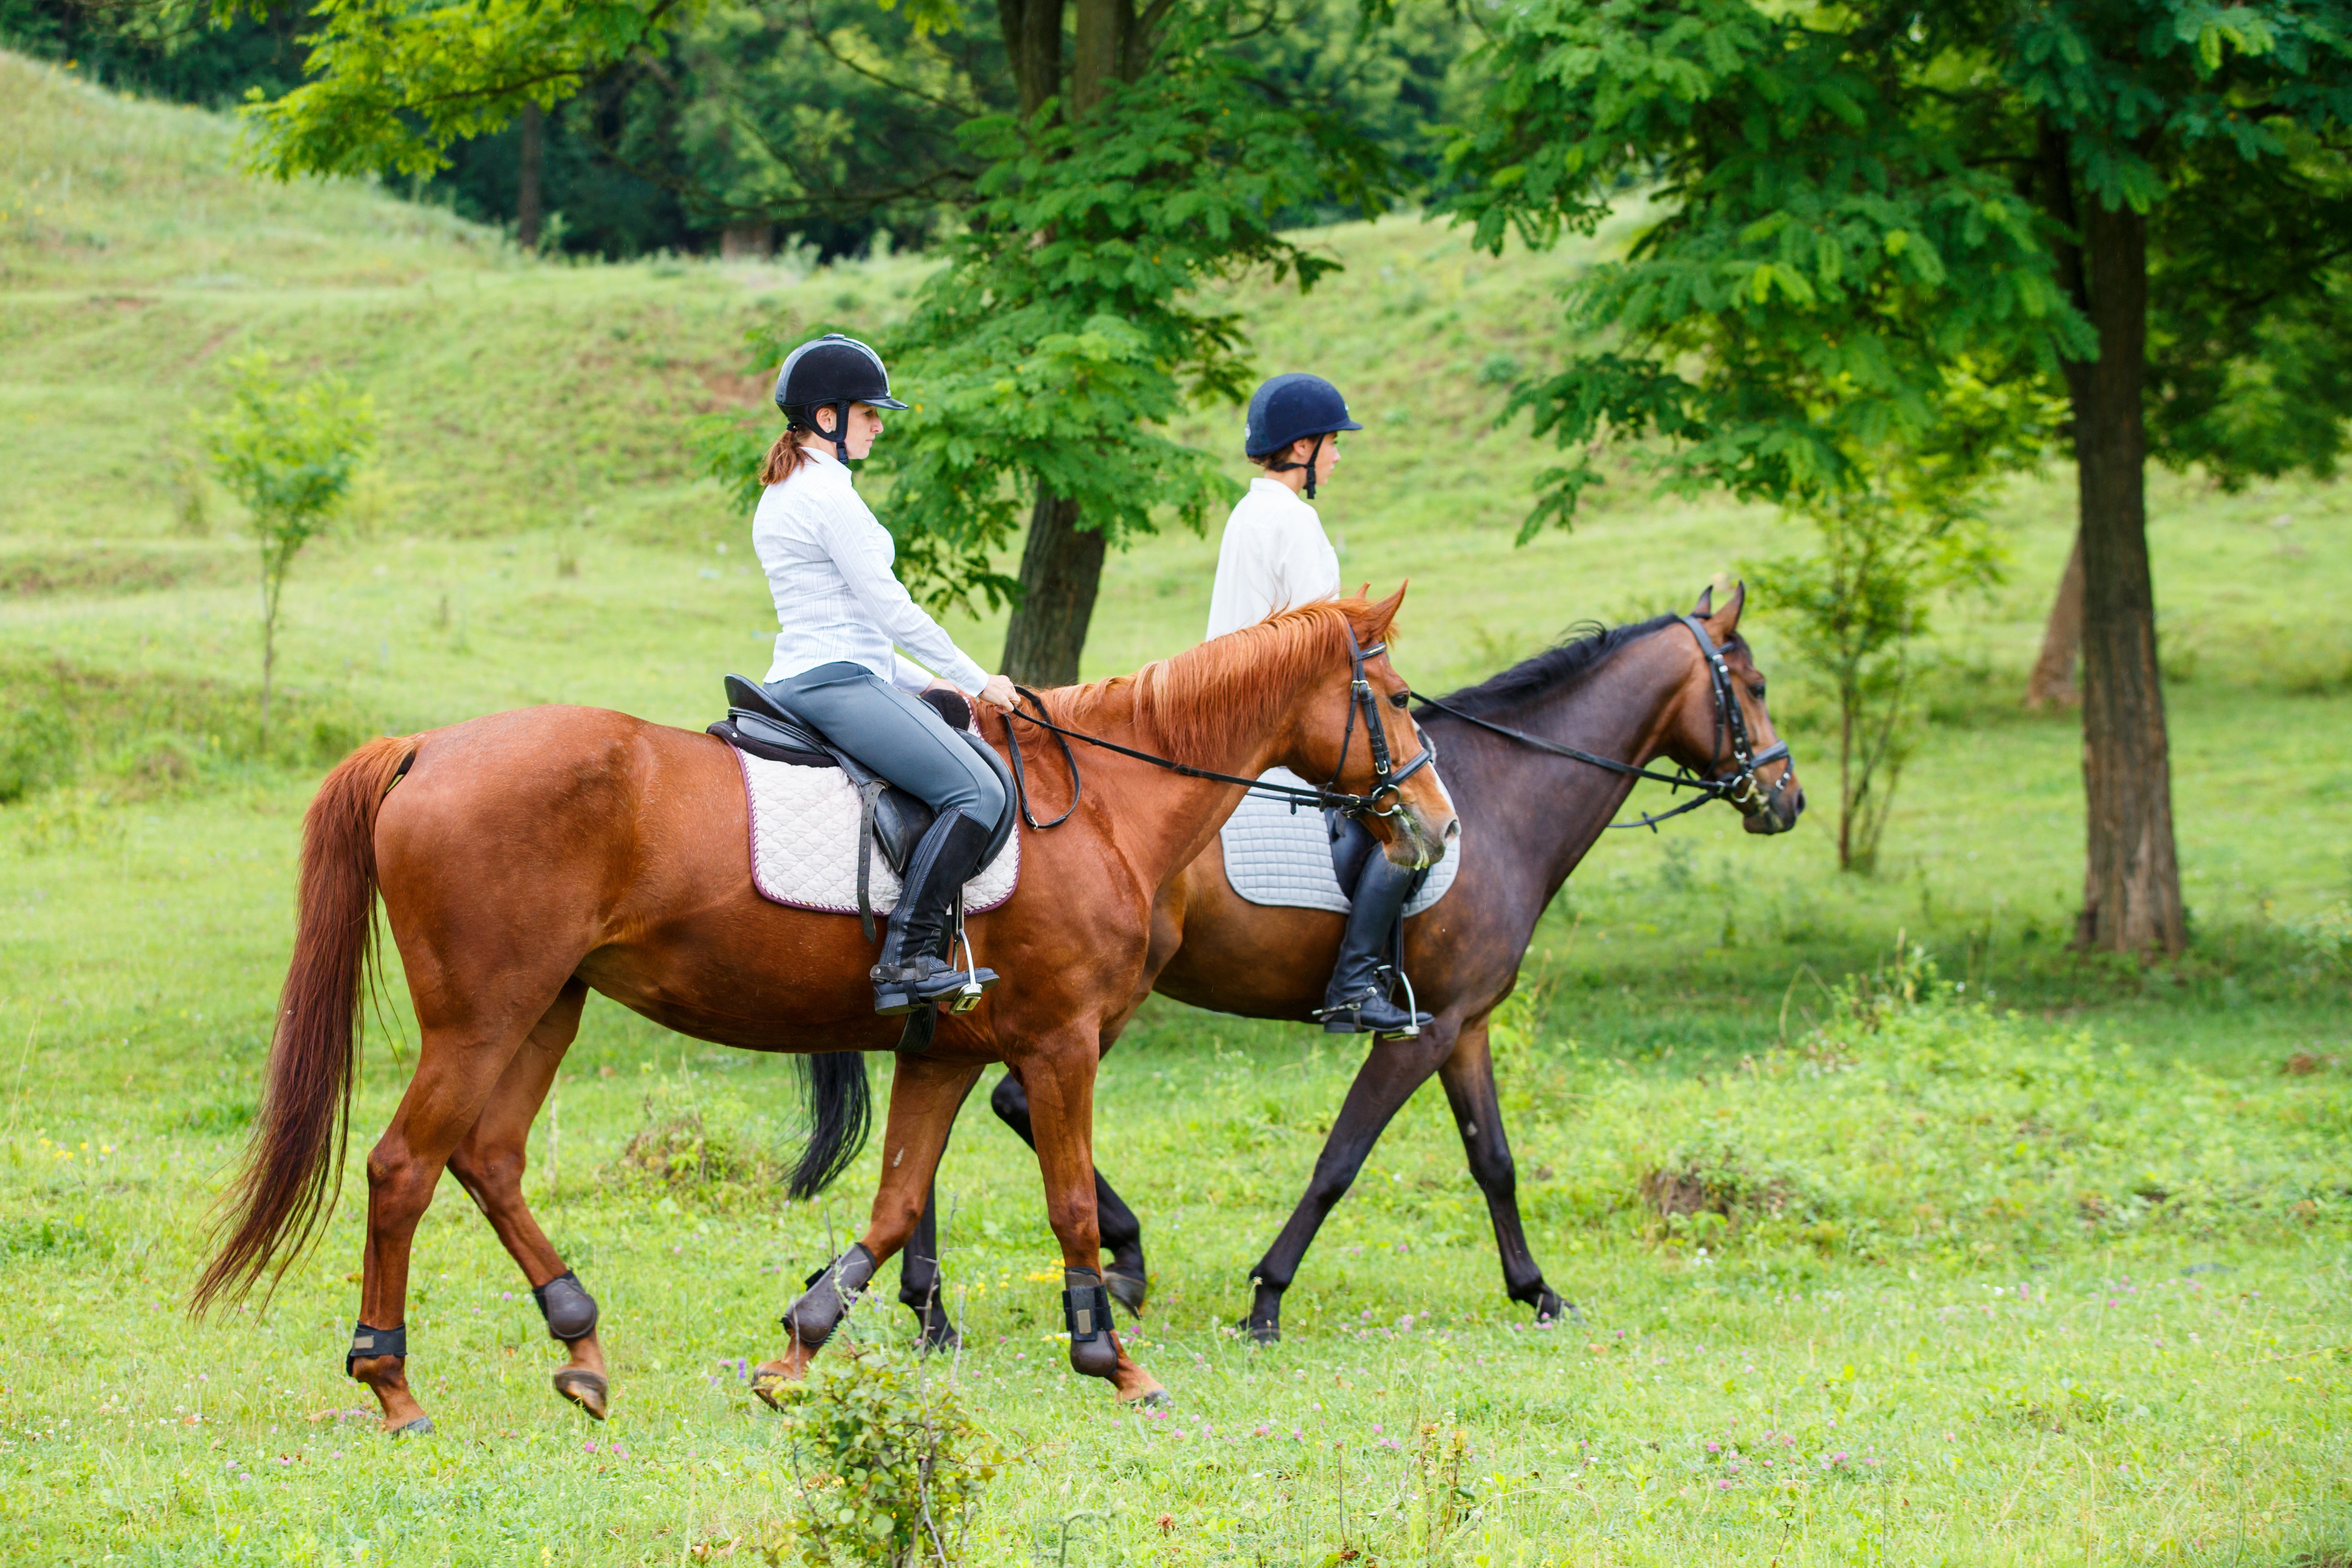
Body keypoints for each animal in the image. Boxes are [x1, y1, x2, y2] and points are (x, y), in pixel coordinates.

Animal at [197, 594, 1449, 1429]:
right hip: (483, 1016)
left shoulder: (950, 1052)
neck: (1100, 807)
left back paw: (581, 1343)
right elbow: (1067, 1205)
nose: (1433, 830)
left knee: (489, 1158)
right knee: (405, 1167)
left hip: (547, 1008)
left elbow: (895, 1206)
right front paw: (1112, 1358)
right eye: (1392, 701)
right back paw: (391, 1377)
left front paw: (797, 1351)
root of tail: (425, 749)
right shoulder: (1060, 1043)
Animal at [898, 583, 1797, 1344]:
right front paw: (1267, 1295)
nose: (1788, 797)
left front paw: (1537, 1290)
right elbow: (1341, 1159)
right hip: (1090, 1001)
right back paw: (1068, 1271)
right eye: (1752, 684)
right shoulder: (1417, 1034)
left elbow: (1495, 1161)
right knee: (1004, 1103)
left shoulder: (1465, 1026)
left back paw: (932, 1301)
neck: (1504, 799)